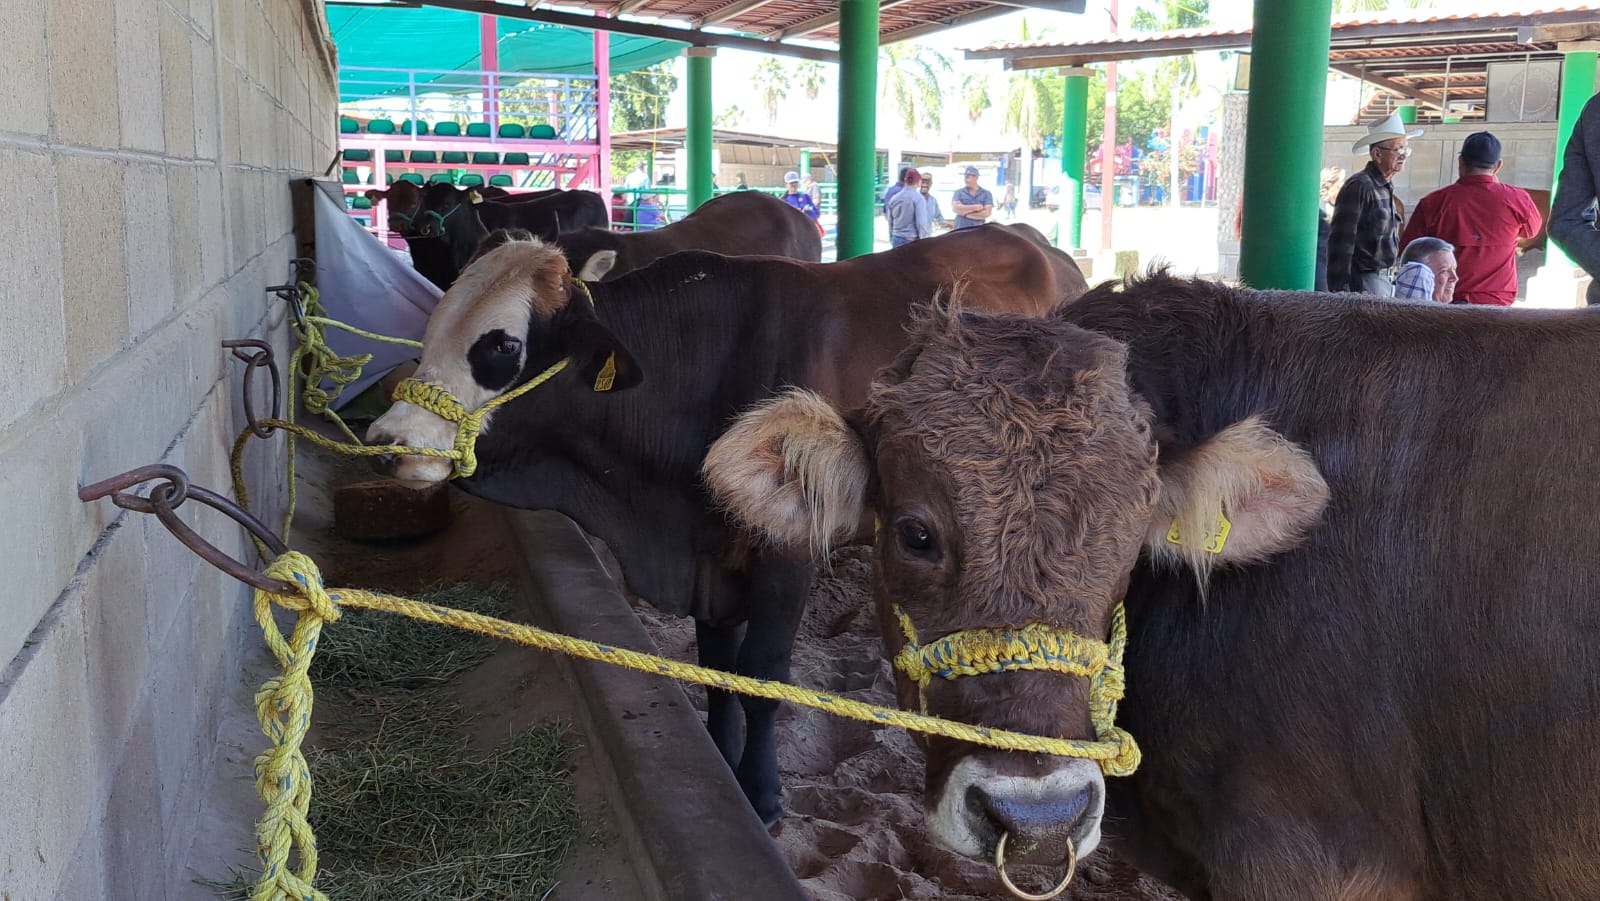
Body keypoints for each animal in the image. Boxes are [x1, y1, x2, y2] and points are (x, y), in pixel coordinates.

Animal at [366, 222, 1075, 825]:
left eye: (500, 345)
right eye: (433, 327)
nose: (385, 439)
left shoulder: (786, 549)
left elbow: (759, 674)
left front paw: (761, 794)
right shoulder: (710, 555)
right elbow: (716, 664)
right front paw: (721, 758)